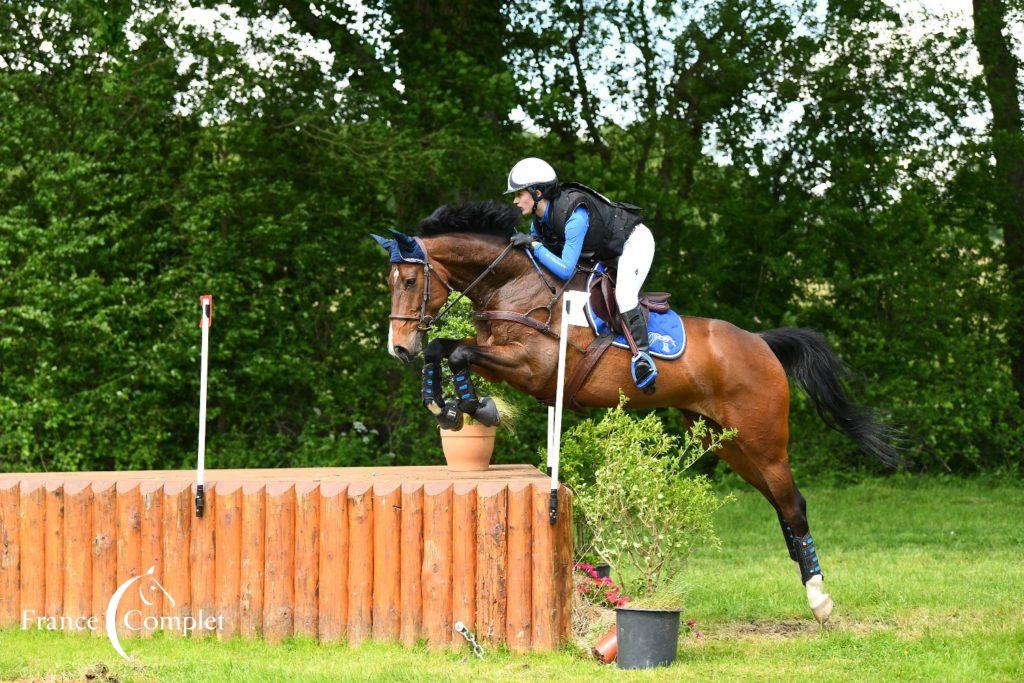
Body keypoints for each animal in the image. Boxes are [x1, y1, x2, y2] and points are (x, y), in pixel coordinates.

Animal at [374, 198, 897, 626]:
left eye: (409, 280)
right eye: (391, 282)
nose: (398, 348)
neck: (515, 286)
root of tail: (761, 343)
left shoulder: (533, 369)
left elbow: (458, 353)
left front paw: (476, 408)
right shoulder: (502, 358)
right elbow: (444, 349)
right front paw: (446, 406)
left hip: (763, 440)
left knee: (794, 505)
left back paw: (820, 601)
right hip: (725, 442)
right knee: (781, 504)